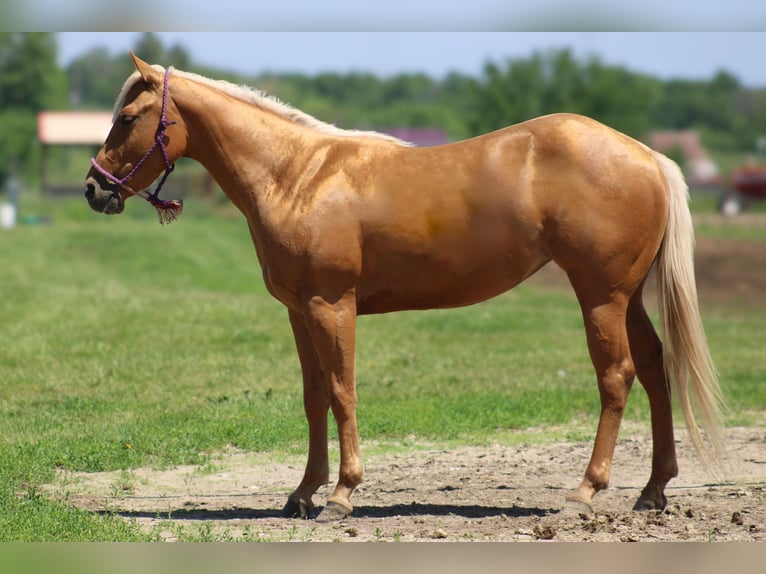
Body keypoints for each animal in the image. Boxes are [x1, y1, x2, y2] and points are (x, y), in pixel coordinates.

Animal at [84, 55, 728, 528]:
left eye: (127, 117)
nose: (94, 189)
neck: (297, 174)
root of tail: (647, 156)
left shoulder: (331, 307)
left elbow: (342, 392)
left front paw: (341, 495)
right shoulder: (298, 312)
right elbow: (313, 396)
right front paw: (303, 493)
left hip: (600, 296)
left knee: (617, 377)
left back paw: (586, 492)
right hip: (628, 296)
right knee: (655, 367)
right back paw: (653, 491)